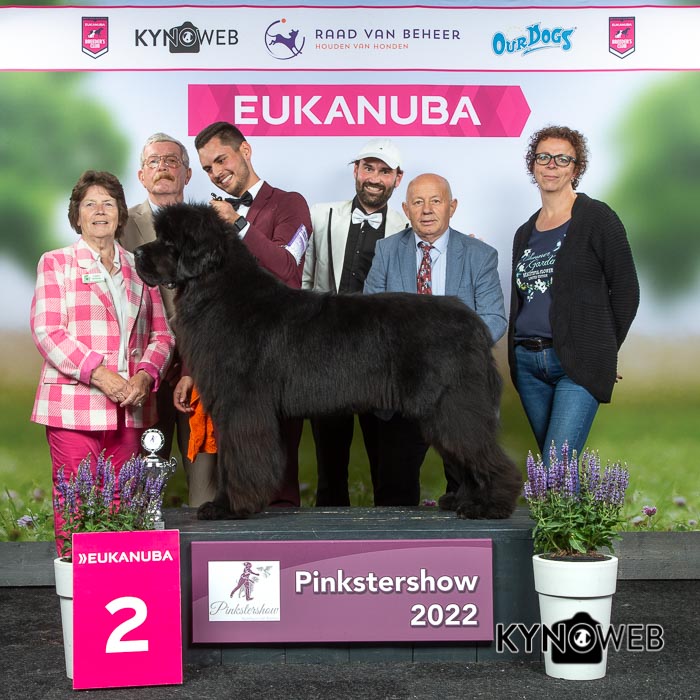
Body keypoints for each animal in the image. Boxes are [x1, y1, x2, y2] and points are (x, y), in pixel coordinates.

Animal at [134, 203, 522, 520]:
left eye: (168, 242)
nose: (136, 251)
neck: (218, 289)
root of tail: (475, 324)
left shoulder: (241, 405)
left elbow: (240, 456)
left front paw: (229, 507)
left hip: (452, 405)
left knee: (484, 452)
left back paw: (491, 505)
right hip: (446, 409)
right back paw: (464, 501)